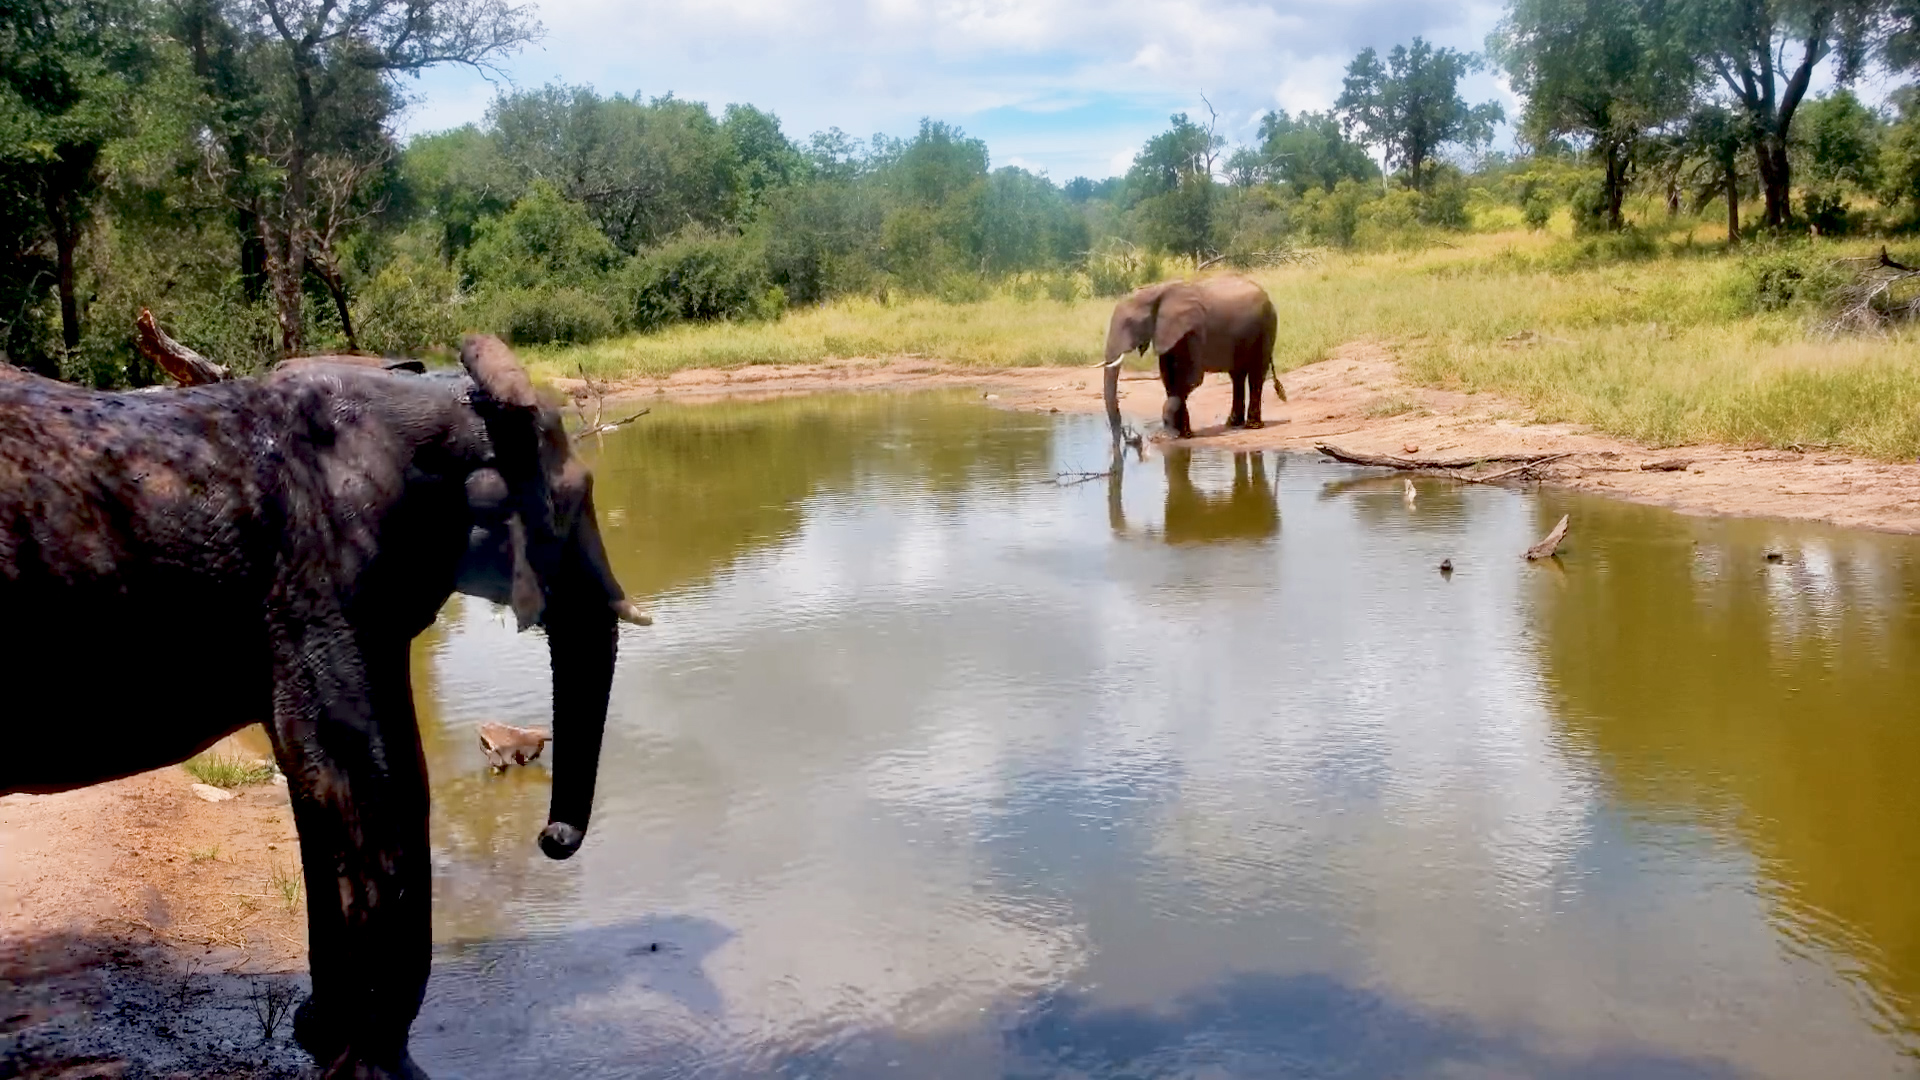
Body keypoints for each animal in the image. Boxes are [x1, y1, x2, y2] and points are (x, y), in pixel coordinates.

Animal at [0, 335, 645, 1078]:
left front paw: (318, 1032)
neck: (428, 399)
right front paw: (378, 1064)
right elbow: (366, 778)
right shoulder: (317, 574)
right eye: (571, 502)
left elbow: (350, 777)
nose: (551, 839)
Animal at [1102, 275, 1284, 441]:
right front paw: (1184, 435)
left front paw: (1168, 436)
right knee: (1237, 375)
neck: (1156, 291)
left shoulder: (1192, 332)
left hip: (1267, 326)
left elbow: (1191, 380)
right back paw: (1233, 424)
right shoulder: (1167, 334)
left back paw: (1252, 425)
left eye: (1130, 323)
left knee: (1256, 373)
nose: (1129, 435)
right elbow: (1169, 379)